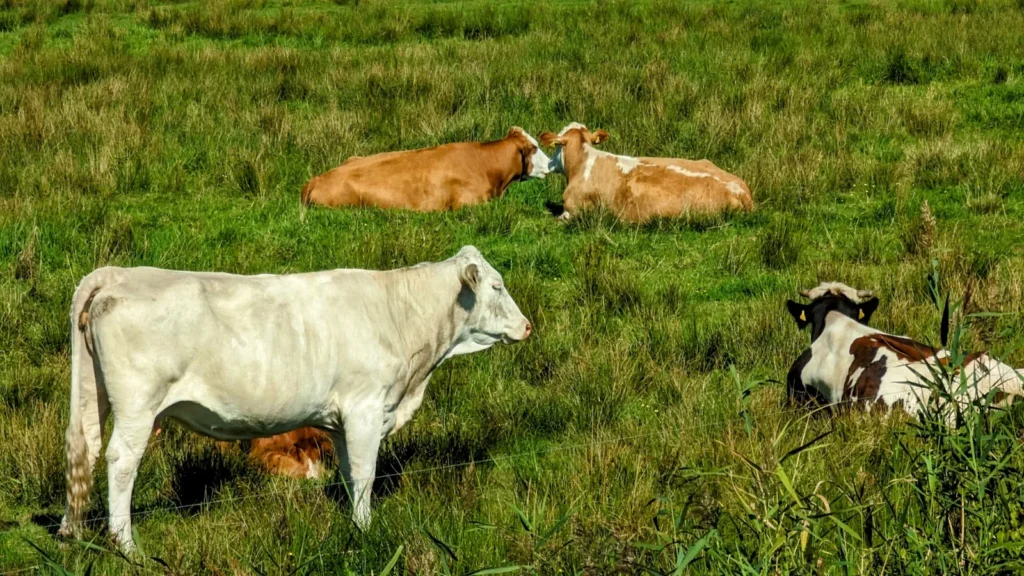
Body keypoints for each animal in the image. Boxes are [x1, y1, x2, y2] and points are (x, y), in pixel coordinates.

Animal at [58, 246, 532, 553]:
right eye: (496, 285)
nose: (527, 325)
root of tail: (122, 274)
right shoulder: (365, 408)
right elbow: (365, 474)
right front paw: (366, 530)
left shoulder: (341, 419)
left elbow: (348, 473)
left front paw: (355, 525)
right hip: (138, 404)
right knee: (121, 460)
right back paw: (125, 544)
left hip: (93, 395)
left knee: (84, 449)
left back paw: (71, 531)